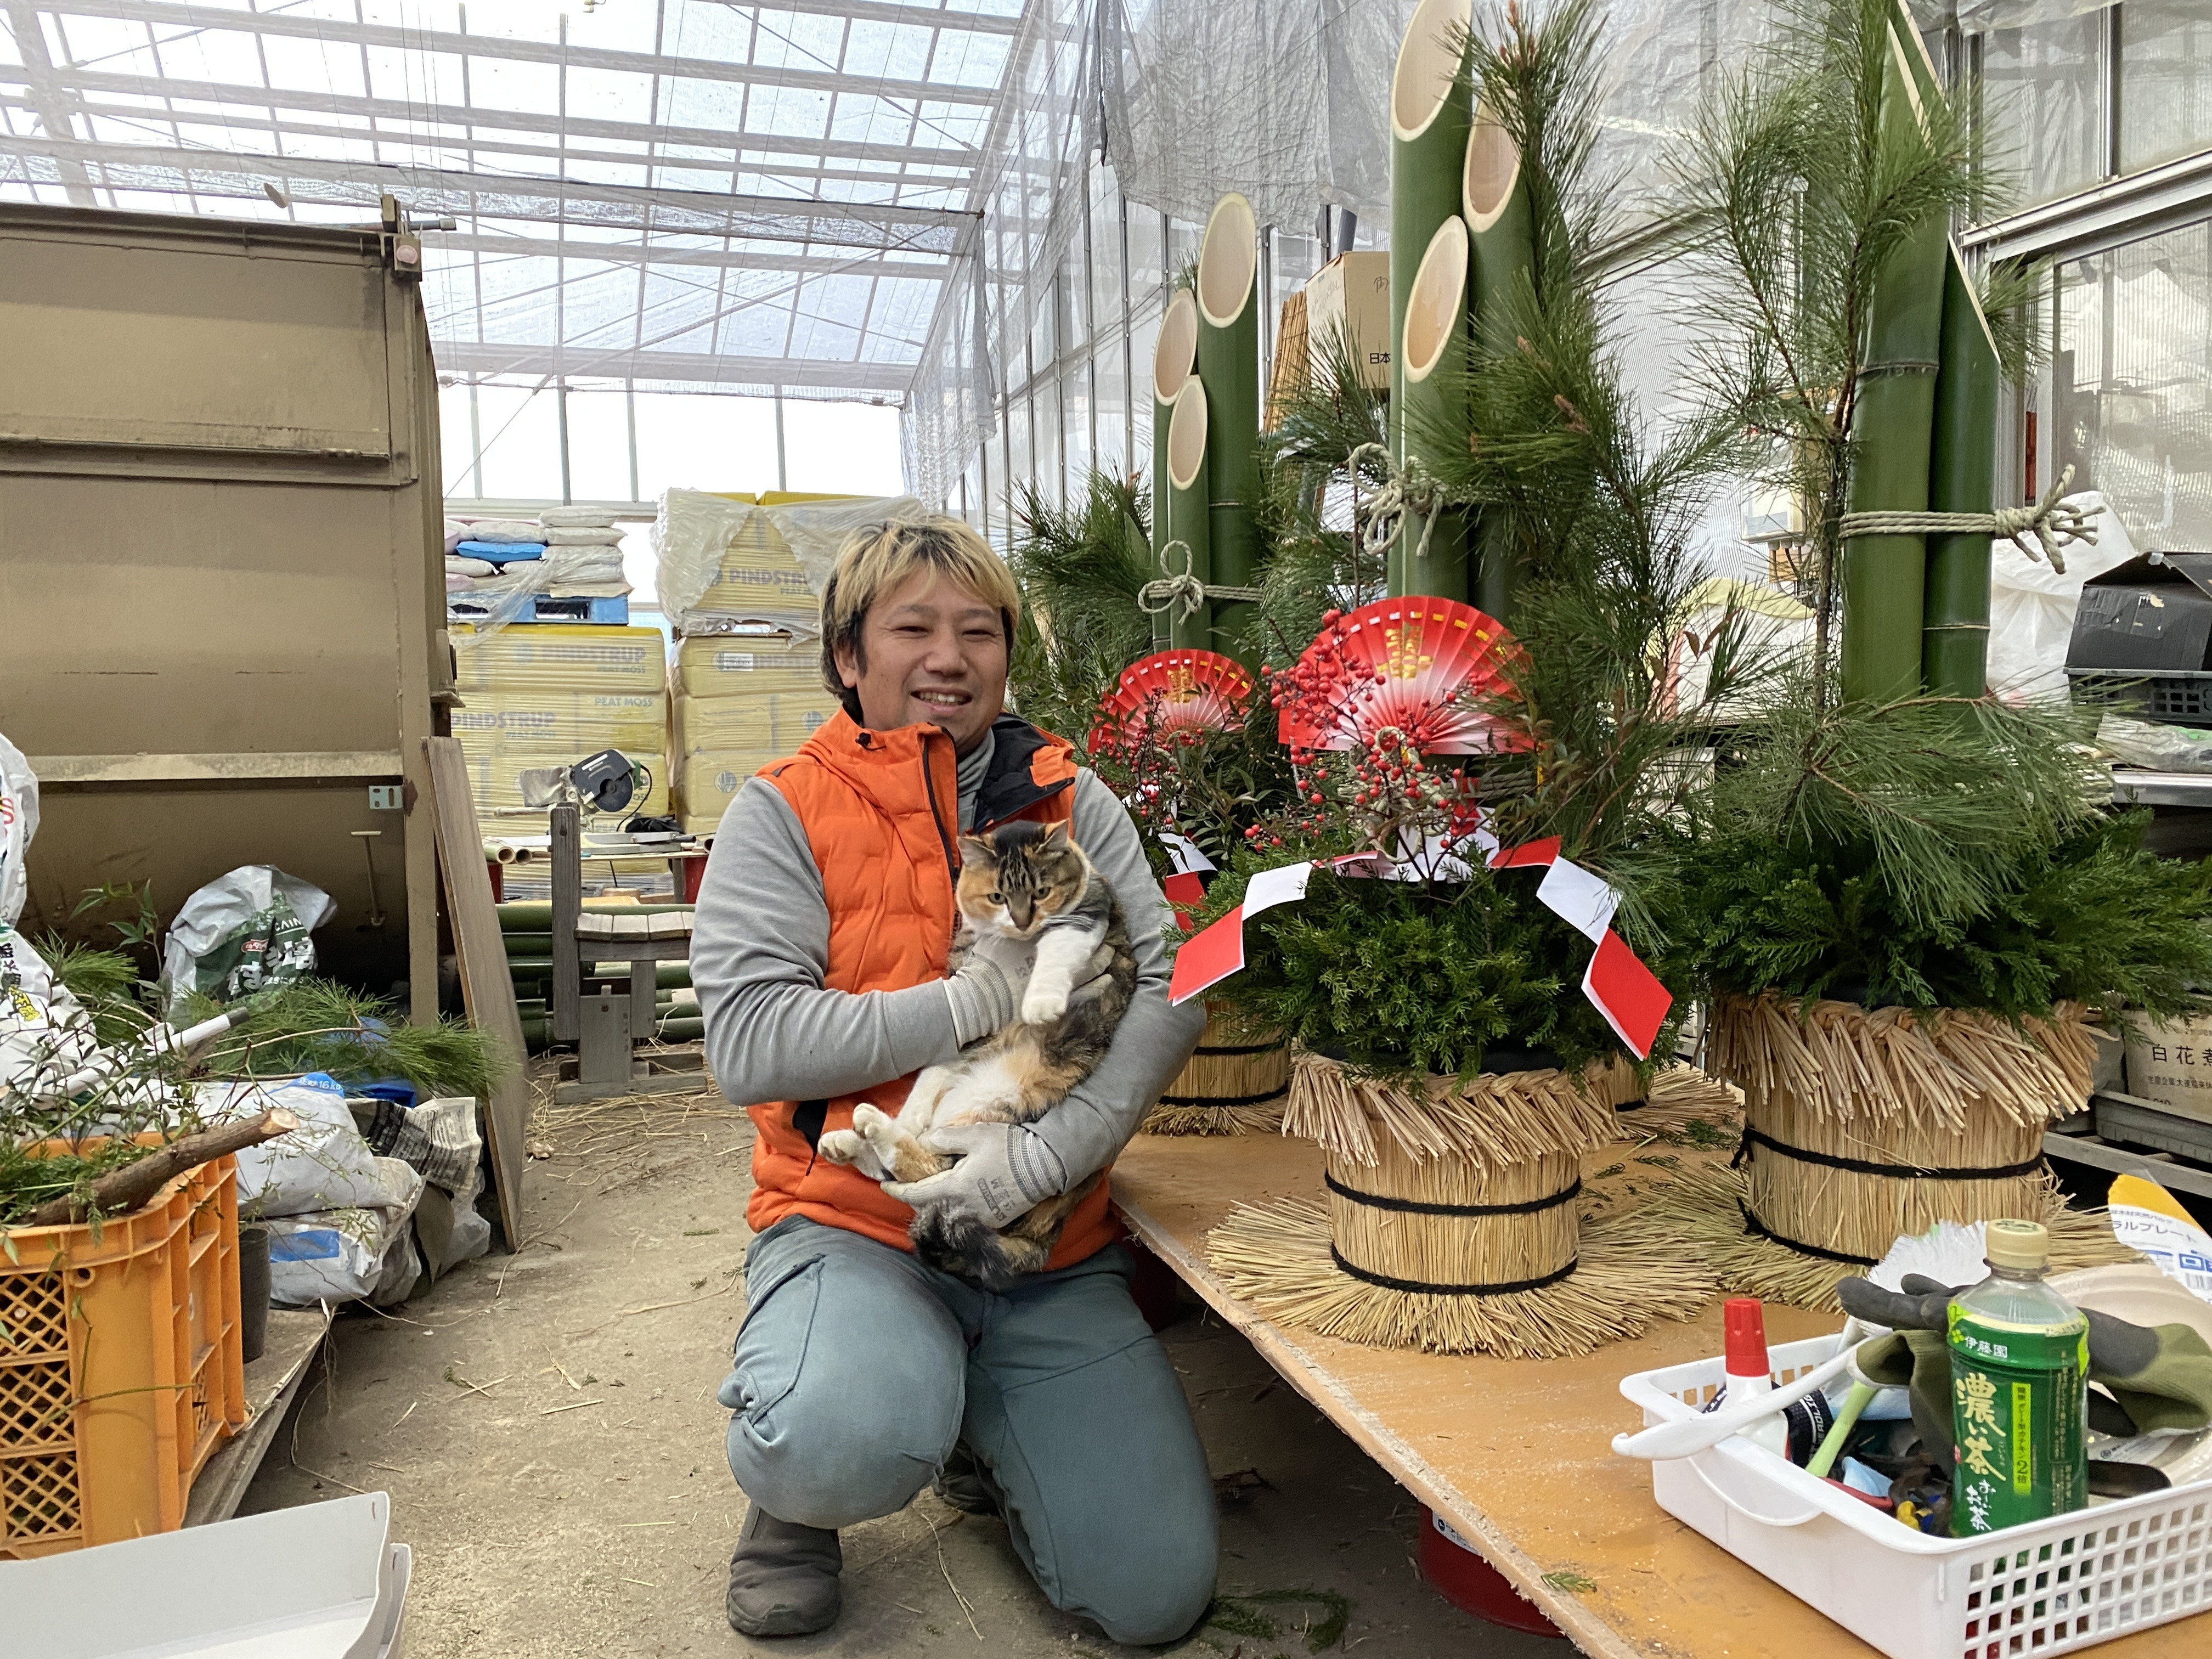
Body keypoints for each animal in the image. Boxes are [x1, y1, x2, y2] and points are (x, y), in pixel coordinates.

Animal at [818, 819, 1139, 1289]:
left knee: (931, 1167)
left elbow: (1056, 947)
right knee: (916, 1146)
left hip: (997, 1103)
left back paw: (871, 1128)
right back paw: (851, 1139)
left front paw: (1040, 1002)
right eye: (997, 897)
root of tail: (1041, 1233)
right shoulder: (962, 988)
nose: (1023, 923)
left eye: (1042, 892)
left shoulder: (1086, 917)